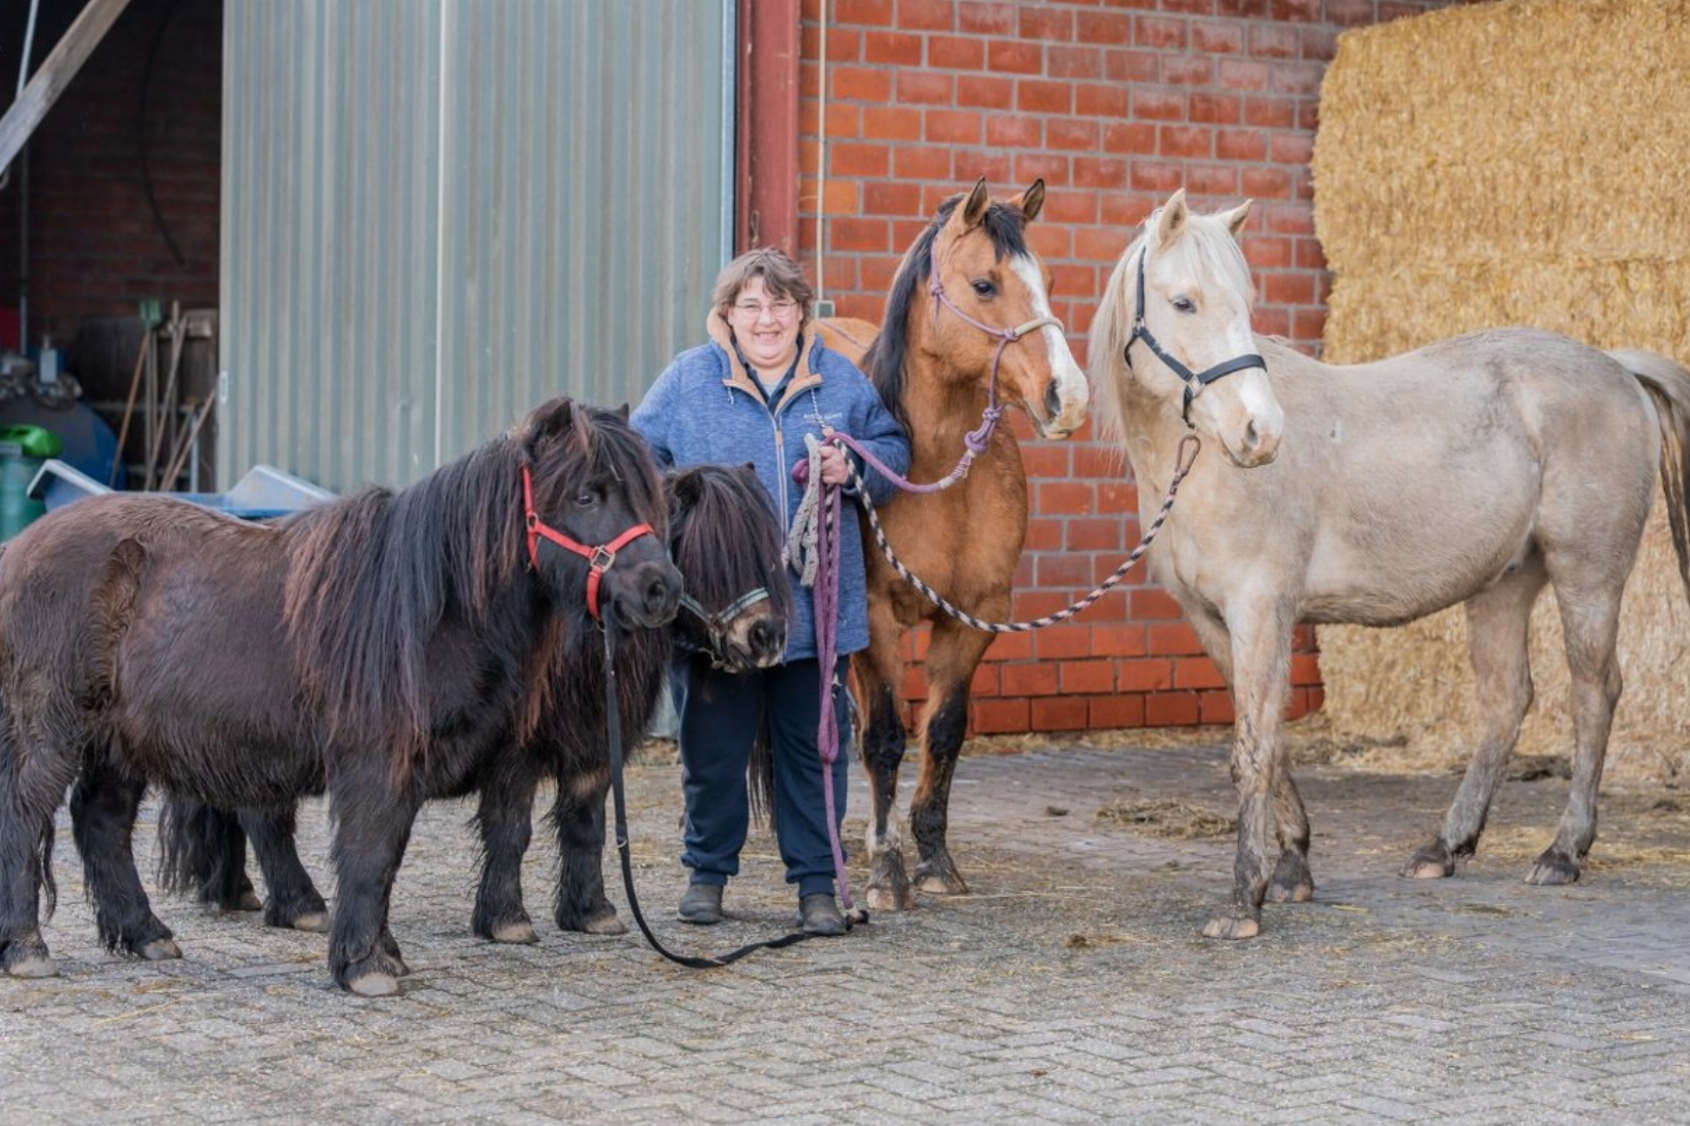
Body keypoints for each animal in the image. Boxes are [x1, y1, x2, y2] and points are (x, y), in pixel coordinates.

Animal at [1, 397, 686, 994]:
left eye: (650, 496)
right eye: (586, 494)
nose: (662, 589)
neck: (428, 604)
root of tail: (19, 551)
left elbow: (388, 861)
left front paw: (382, 952)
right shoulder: (376, 761)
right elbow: (368, 853)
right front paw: (364, 966)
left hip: (116, 741)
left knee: (102, 824)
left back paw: (146, 933)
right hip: (52, 730)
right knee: (25, 815)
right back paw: (27, 949)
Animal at [821, 177, 1095, 912]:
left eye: (1049, 281)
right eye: (984, 285)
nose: (1069, 398)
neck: (929, 467)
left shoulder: (975, 617)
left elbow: (943, 733)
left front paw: (934, 860)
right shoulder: (876, 618)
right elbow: (885, 739)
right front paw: (887, 873)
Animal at [1081, 188, 1690, 933]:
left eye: (1244, 302)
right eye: (1183, 302)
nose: (1260, 433)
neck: (1203, 466)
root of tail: (1618, 368)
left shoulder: (1262, 610)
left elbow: (1253, 749)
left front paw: (1245, 896)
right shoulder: (1210, 620)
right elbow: (1272, 737)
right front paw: (1293, 864)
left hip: (1589, 576)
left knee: (1594, 693)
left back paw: (1562, 851)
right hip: (1506, 584)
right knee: (1506, 702)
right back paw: (1446, 845)